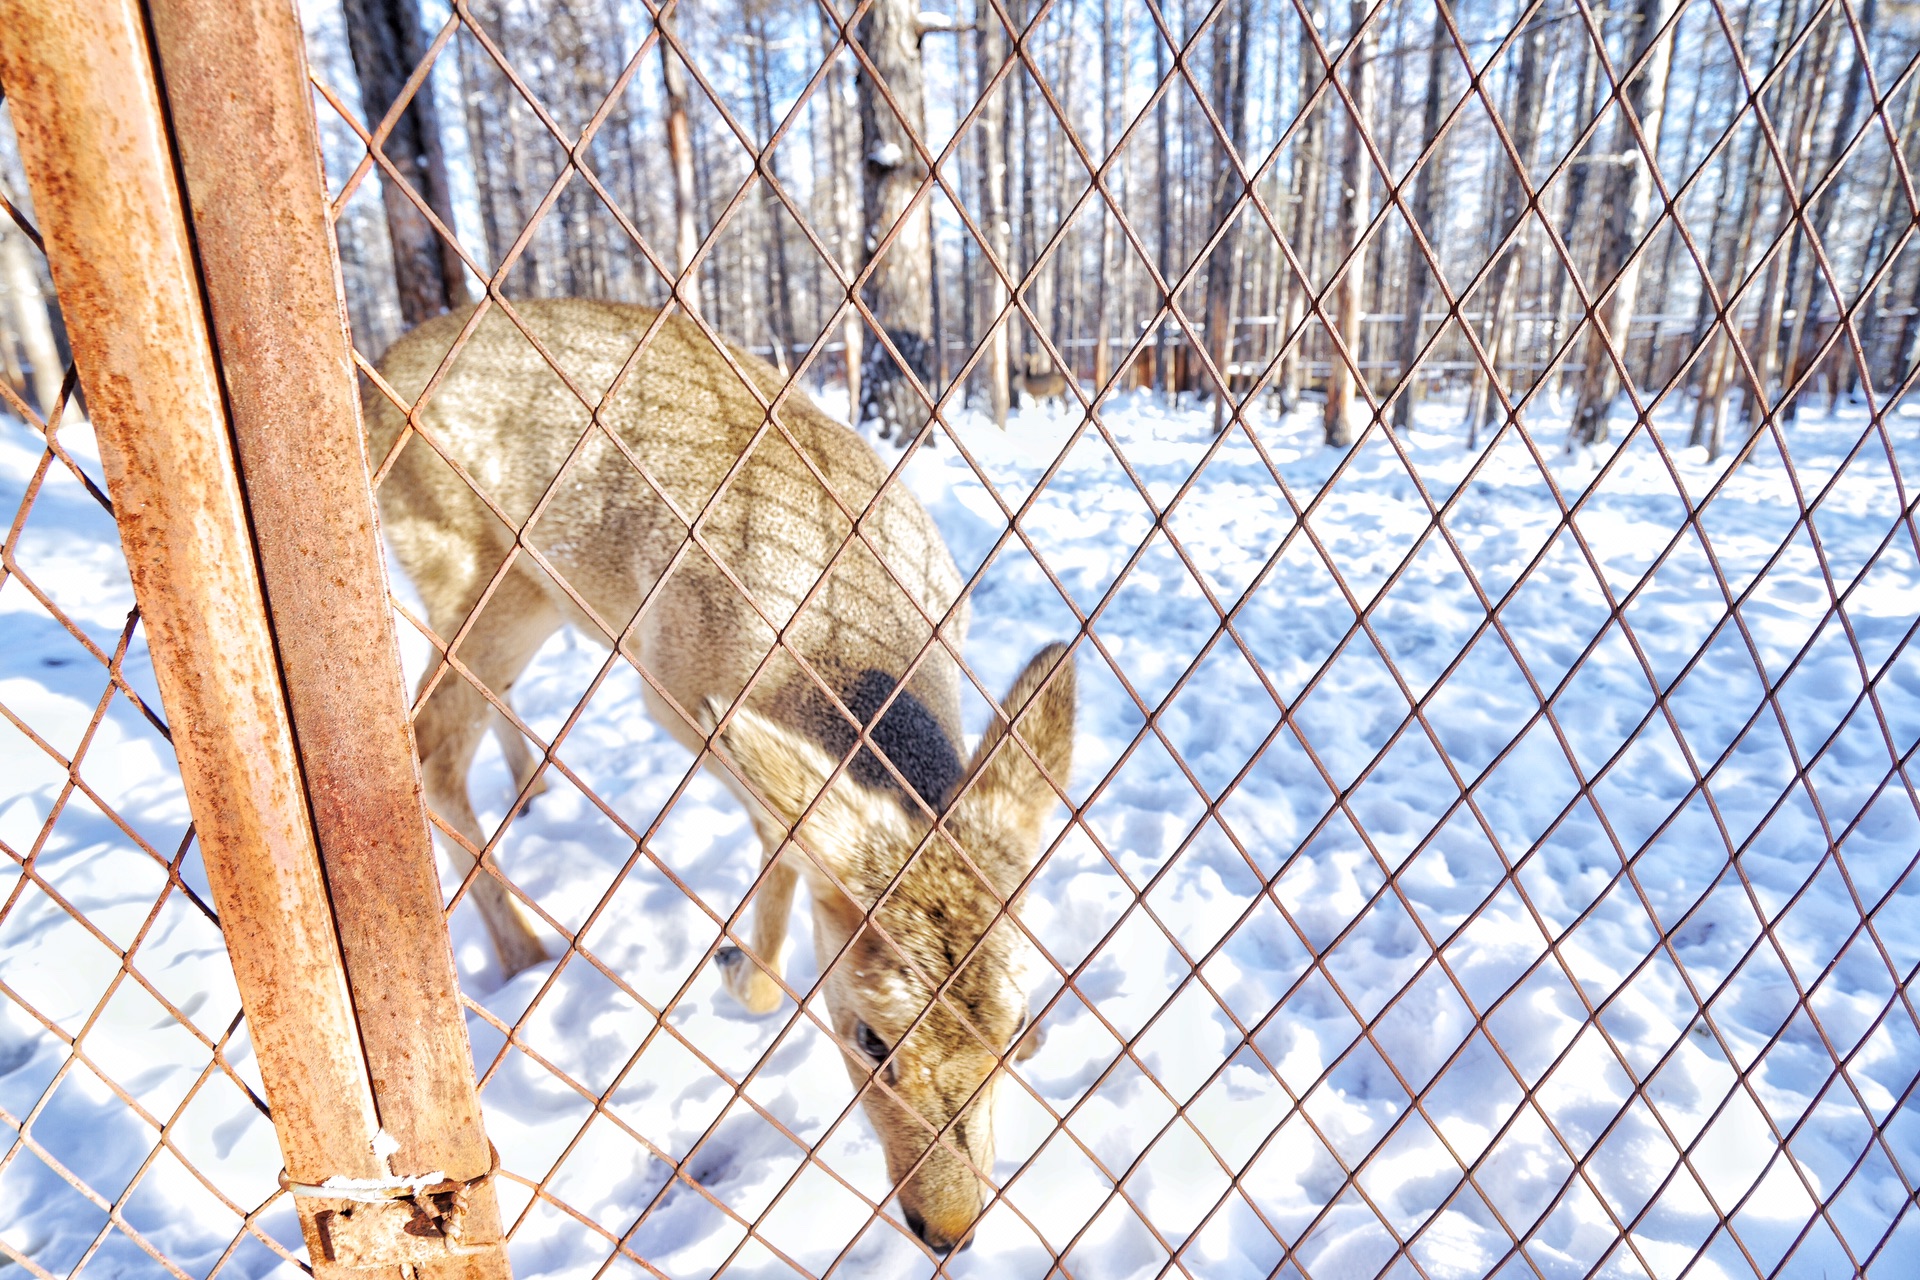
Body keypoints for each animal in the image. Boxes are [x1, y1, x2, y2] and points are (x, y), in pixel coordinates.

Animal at [362, 297, 1082, 1251]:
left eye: (1018, 1026)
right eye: (870, 1038)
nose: (950, 1231)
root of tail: (377, 381)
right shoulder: (680, 702)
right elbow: (777, 883)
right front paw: (737, 964)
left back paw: (536, 794)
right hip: (479, 571)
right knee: (429, 741)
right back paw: (522, 954)